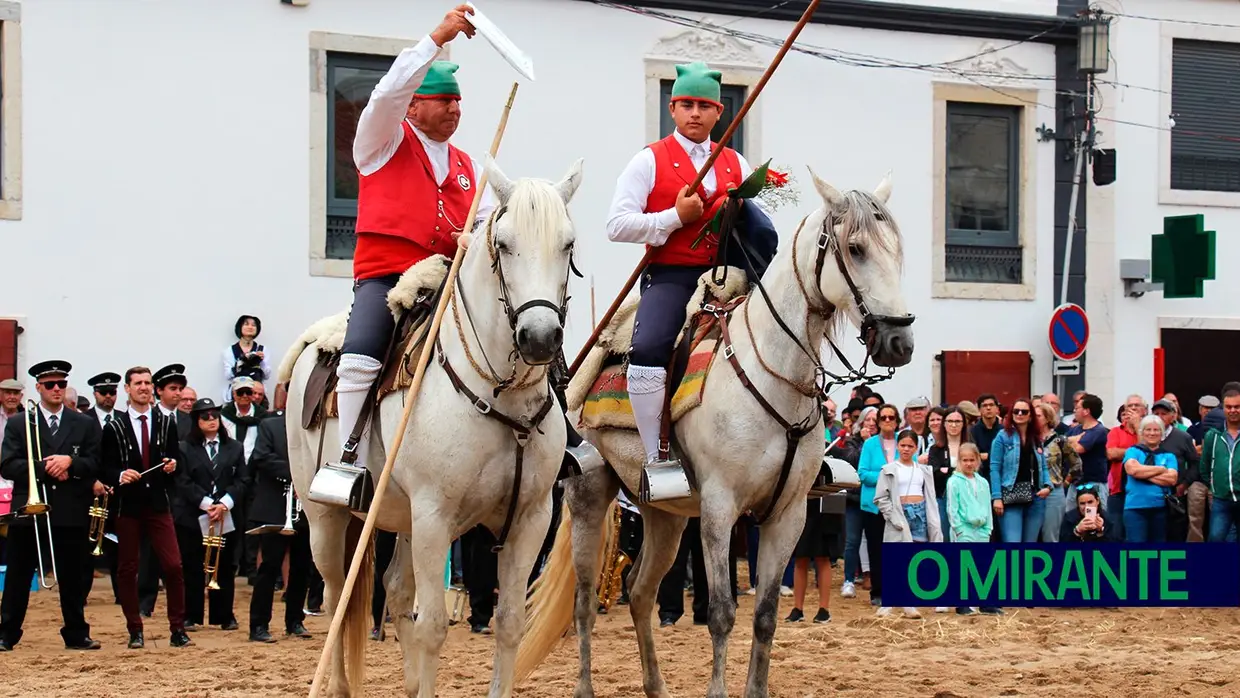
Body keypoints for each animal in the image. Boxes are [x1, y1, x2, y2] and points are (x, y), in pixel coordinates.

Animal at [283, 158, 582, 698]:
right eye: (504, 243)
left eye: (567, 244)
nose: (540, 338)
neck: (499, 395)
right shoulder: (434, 516)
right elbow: (435, 626)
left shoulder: (531, 518)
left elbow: (509, 623)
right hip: (326, 521)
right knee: (338, 597)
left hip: (400, 517)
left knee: (397, 592)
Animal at [518, 169, 917, 698]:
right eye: (855, 248)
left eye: (897, 249)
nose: (900, 341)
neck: (770, 371)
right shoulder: (719, 509)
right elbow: (723, 613)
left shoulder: (787, 515)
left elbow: (765, 617)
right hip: (589, 496)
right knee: (585, 602)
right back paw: (585, 686)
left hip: (663, 514)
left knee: (639, 592)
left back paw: (656, 686)